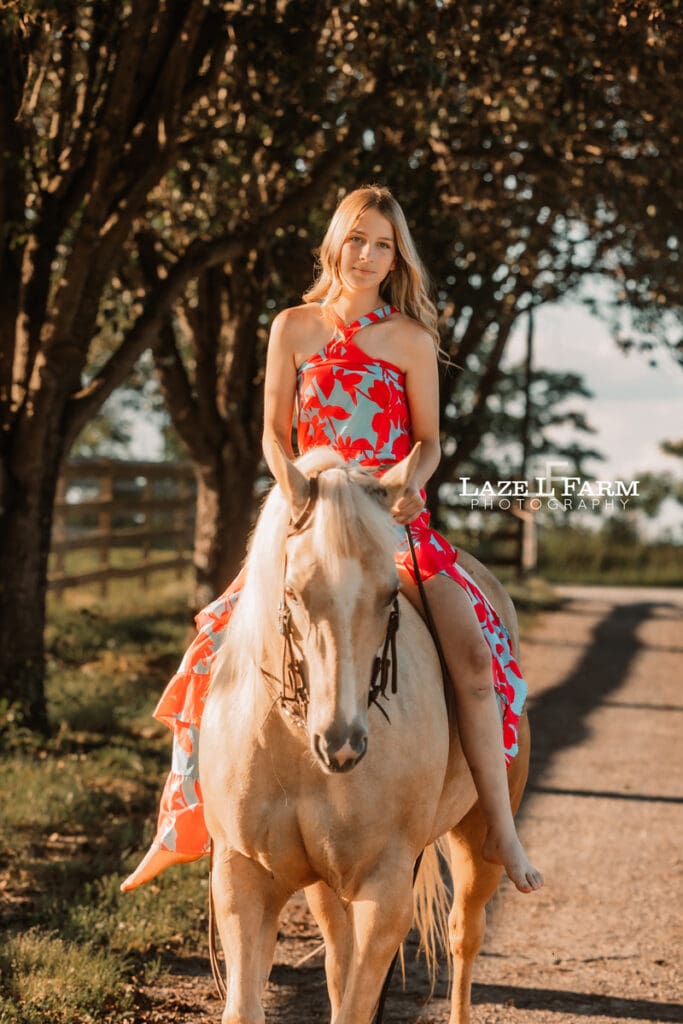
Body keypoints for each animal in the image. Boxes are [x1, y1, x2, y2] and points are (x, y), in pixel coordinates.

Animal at [199, 442, 531, 1024]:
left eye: (389, 593)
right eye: (293, 591)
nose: (342, 743)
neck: (296, 749)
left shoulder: (385, 889)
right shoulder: (244, 877)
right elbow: (248, 1005)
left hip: (478, 843)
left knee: (464, 935)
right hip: (327, 884)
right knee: (339, 954)